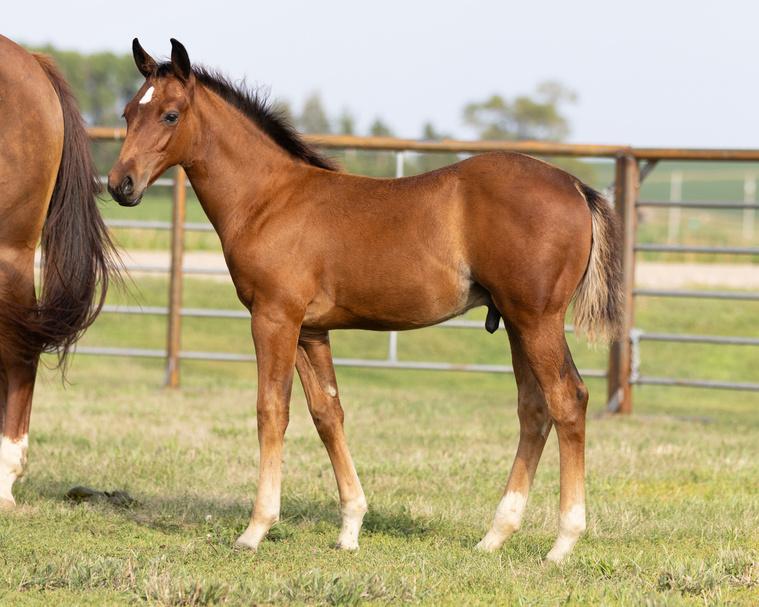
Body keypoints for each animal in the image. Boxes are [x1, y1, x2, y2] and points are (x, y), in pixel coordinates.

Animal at [109, 38, 622, 563]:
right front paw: (351, 527)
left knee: (567, 400)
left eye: (170, 115)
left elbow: (271, 411)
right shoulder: (310, 330)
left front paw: (256, 529)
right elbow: (327, 414)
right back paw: (495, 535)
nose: (120, 185)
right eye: (128, 113)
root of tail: (575, 187)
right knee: (534, 410)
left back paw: (562, 542)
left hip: (537, 319)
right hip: (518, 323)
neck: (269, 200)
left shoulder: (274, 318)